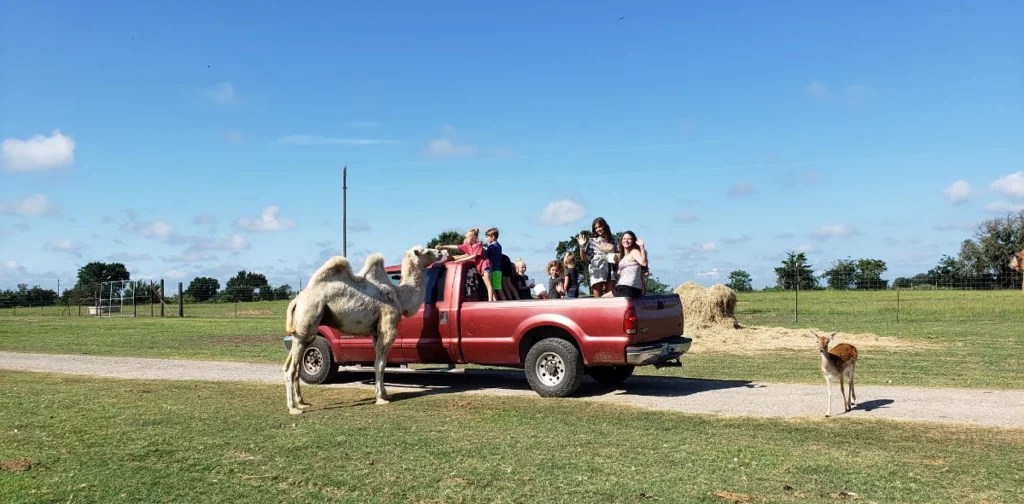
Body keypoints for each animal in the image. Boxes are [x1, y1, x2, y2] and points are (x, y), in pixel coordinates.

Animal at [282, 243, 442, 413]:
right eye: (426, 251)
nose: (440, 252)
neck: (399, 296)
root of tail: (296, 300)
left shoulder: (375, 333)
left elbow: (381, 362)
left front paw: (385, 394)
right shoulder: (388, 327)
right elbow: (380, 364)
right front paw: (380, 399)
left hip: (302, 332)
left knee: (292, 366)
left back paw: (302, 402)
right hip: (307, 319)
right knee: (291, 369)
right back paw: (293, 408)